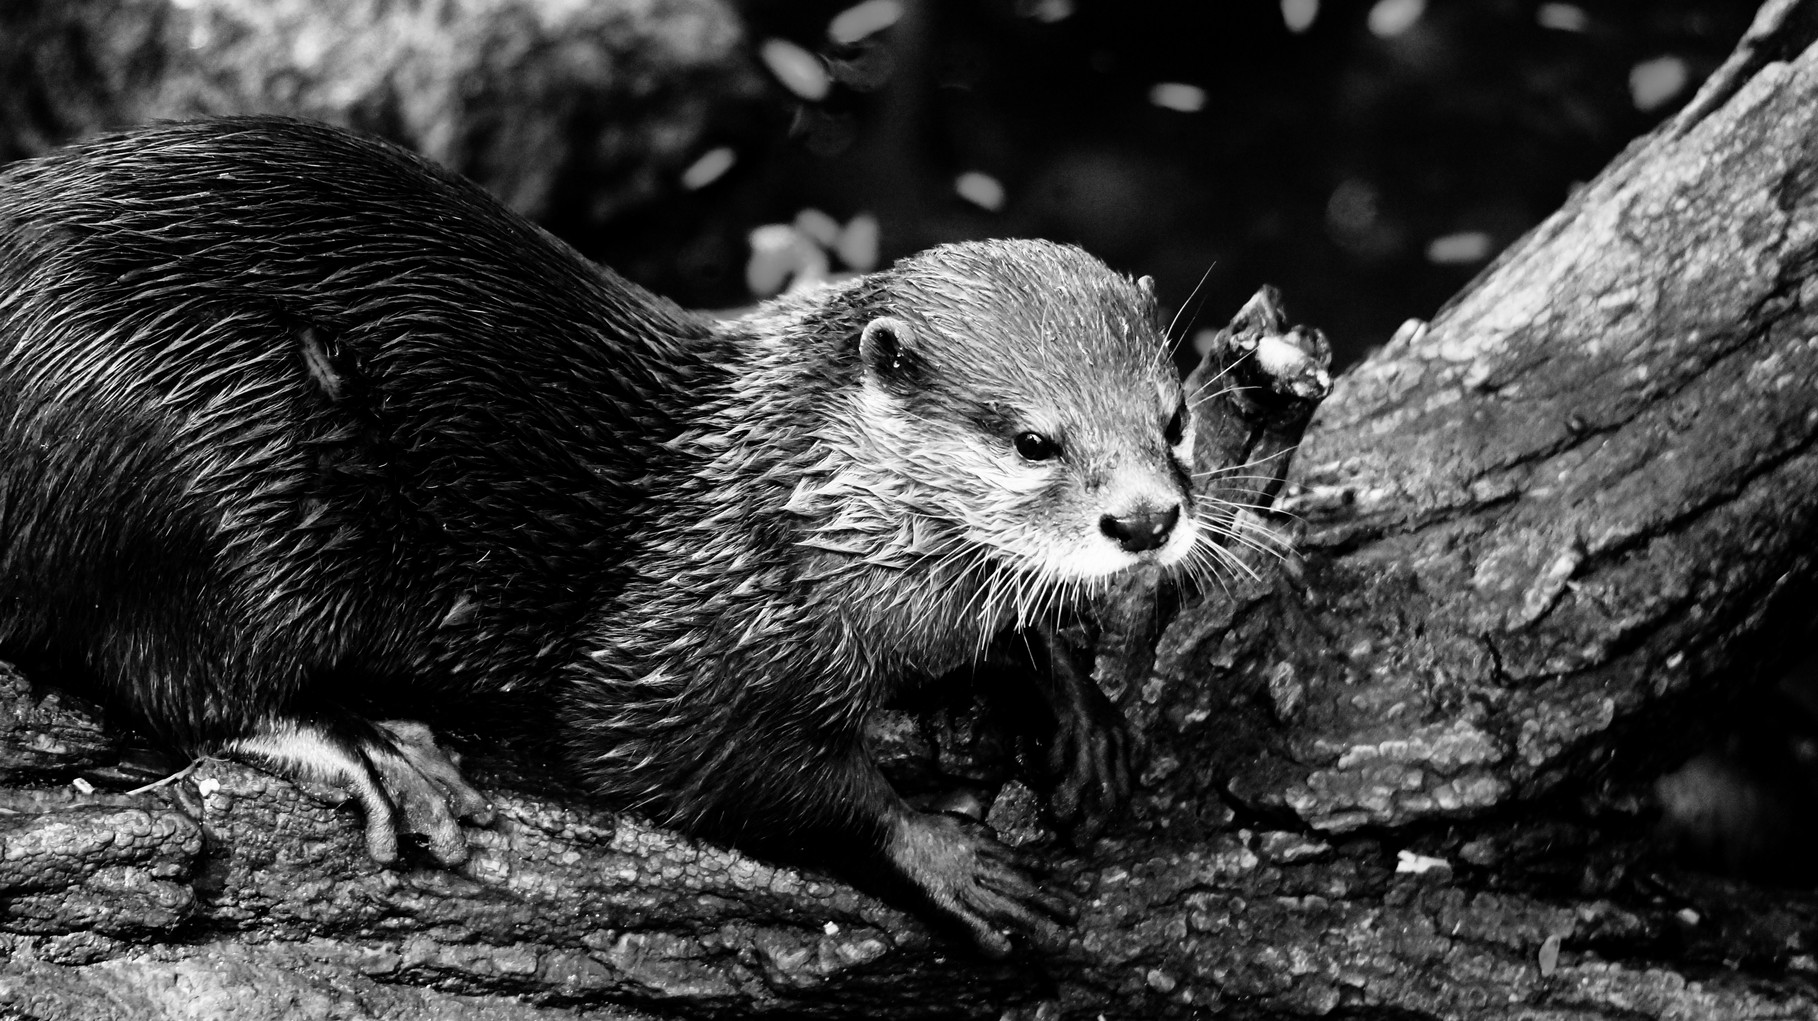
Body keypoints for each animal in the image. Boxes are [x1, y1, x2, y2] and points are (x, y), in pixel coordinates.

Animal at [0, 118, 1207, 951]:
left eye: (1174, 416)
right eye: (1035, 441)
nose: (1146, 518)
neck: (793, 508)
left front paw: (1082, 711)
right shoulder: (688, 621)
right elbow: (676, 745)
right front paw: (938, 846)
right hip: (213, 436)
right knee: (174, 671)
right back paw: (373, 749)